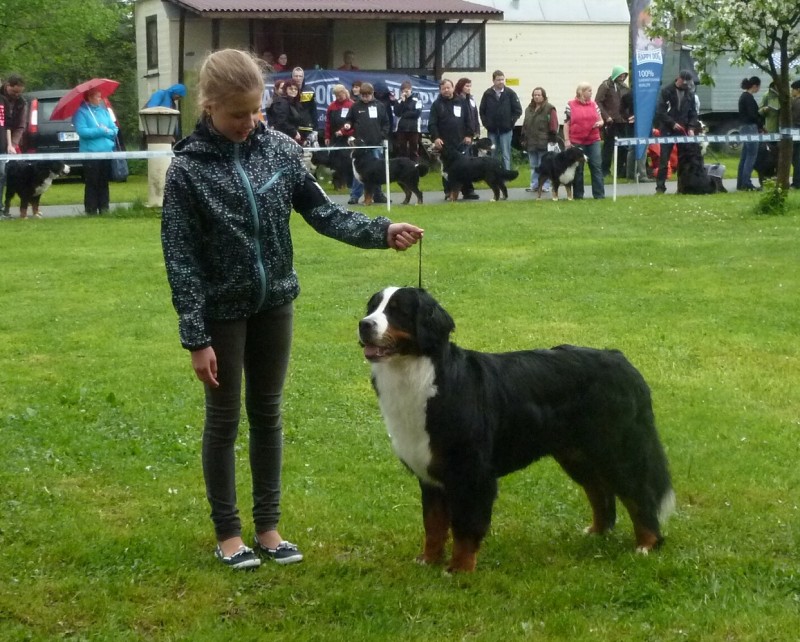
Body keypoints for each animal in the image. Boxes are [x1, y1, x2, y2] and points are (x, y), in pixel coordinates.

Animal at [360, 284, 680, 568]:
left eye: (398, 310)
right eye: (372, 307)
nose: (364, 325)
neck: (421, 378)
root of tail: (620, 359)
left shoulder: (472, 474)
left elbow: (465, 528)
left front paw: (459, 570)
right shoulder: (431, 475)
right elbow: (434, 525)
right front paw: (428, 561)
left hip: (615, 449)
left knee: (638, 494)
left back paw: (647, 544)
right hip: (577, 454)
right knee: (600, 491)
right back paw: (597, 532)